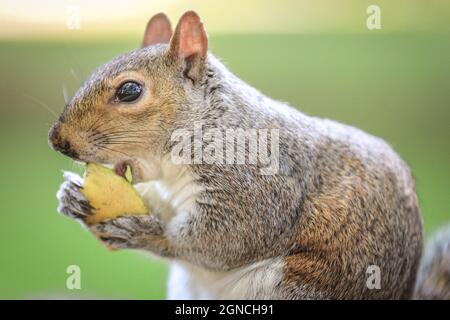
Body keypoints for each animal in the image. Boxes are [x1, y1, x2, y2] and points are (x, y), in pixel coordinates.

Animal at [47, 10, 448, 300]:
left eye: (130, 91)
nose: (57, 140)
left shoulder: (260, 184)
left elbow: (226, 239)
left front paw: (146, 233)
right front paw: (72, 197)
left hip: (299, 286)